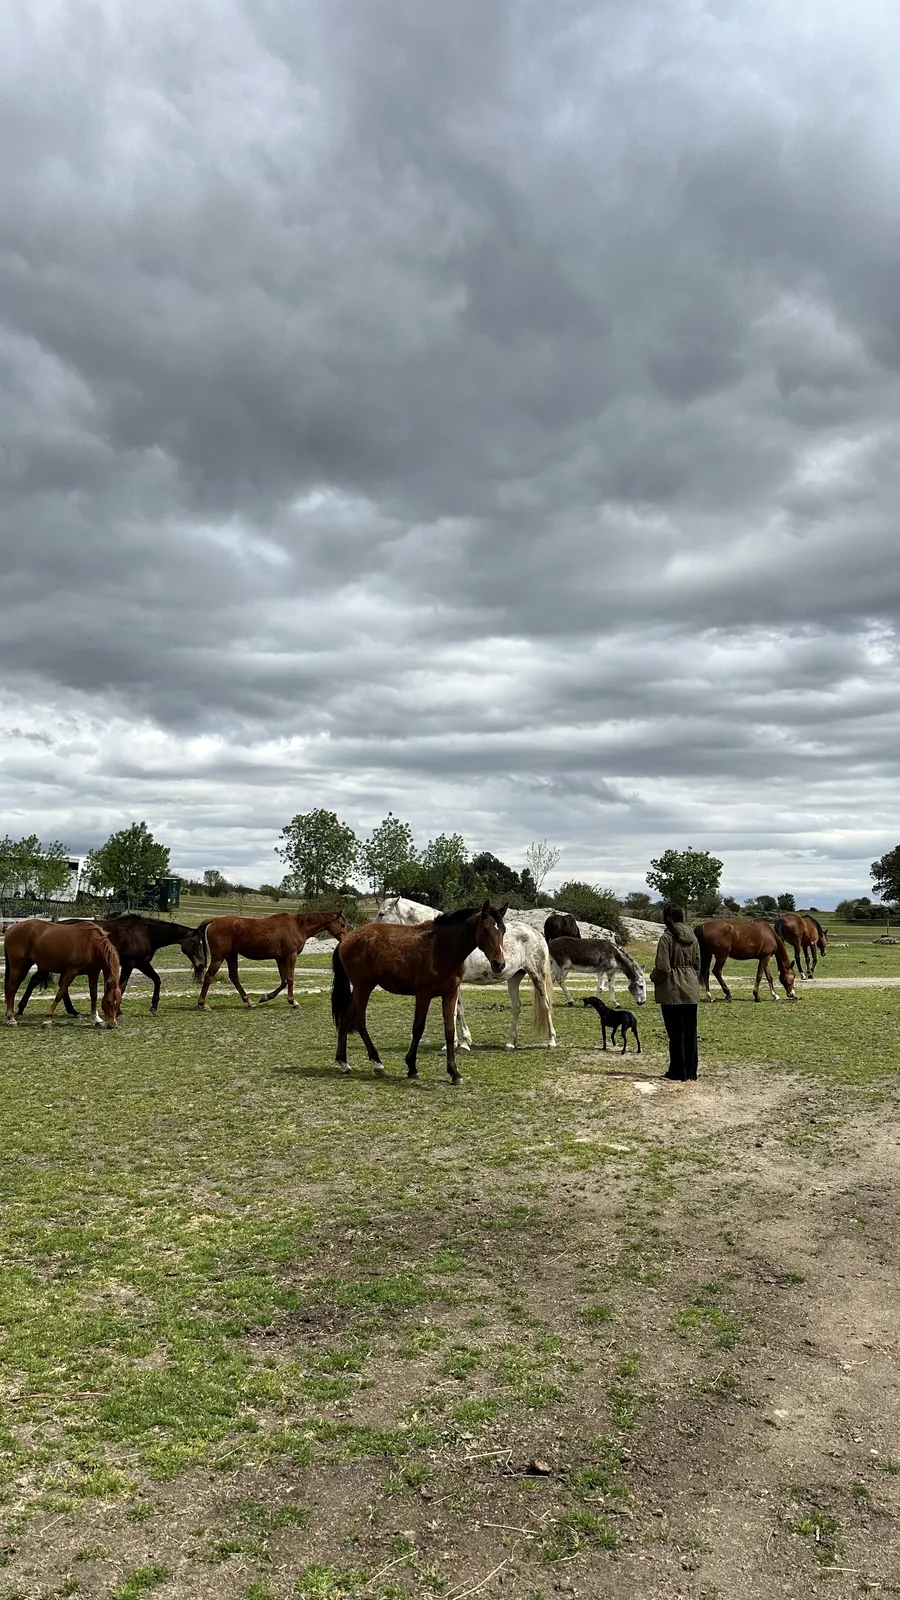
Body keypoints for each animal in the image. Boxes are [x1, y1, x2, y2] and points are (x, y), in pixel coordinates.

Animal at [15, 915, 207, 1017]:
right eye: (197, 943)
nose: (201, 964)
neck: (146, 933)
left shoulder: (141, 964)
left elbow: (156, 980)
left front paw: (152, 1006)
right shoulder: (132, 964)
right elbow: (123, 986)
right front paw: (119, 1009)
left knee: (61, 984)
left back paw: (73, 1011)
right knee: (35, 981)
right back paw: (20, 1009)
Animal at [196, 908, 347, 1008]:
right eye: (342, 924)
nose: (346, 938)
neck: (298, 926)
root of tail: (215, 920)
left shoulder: (280, 959)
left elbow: (284, 981)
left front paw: (266, 997)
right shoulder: (290, 956)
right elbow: (290, 979)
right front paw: (293, 1002)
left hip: (231, 956)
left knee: (234, 977)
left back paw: (249, 1001)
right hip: (219, 958)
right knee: (209, 976)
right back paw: (203, 1004)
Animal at [332, 903, 507, 1084]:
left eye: (503, 930)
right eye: (485, 929)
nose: (499, 964)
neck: (441, 947)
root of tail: (347, 939)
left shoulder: (450, 994)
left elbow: (449, 1030)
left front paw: (454, 1073)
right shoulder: (423, 995)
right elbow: (418, 1028)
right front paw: (412, 1067)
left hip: (360, 989)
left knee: (345, 1018)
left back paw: (343, 1062)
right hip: (363, 987)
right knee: (360, 1021)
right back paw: (377, 1062)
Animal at [376, 896, 556, 1050]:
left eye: (381, 913)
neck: (443, 940)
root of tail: (536, 933)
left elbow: (453, 1012)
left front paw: (454, 1045)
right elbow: (458, 1011)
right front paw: (463, 1042)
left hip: (537, 975)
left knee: (546, 1003)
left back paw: (551, 1041)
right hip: (514, 978)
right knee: (517, 1007)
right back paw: (510, 1043)